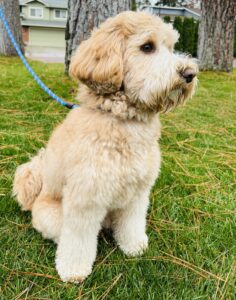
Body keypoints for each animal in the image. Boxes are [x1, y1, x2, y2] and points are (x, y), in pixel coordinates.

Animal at [12, 11, 197, 282]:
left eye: (171, 47)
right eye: (147, 47)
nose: (190, 73)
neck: (123, 121)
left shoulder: (138, 193)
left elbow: (132, 223)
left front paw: (134, 246)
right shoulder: (85, 199)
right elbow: (77, 241)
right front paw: (74, 270)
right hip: (53, 216)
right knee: (63, 234)